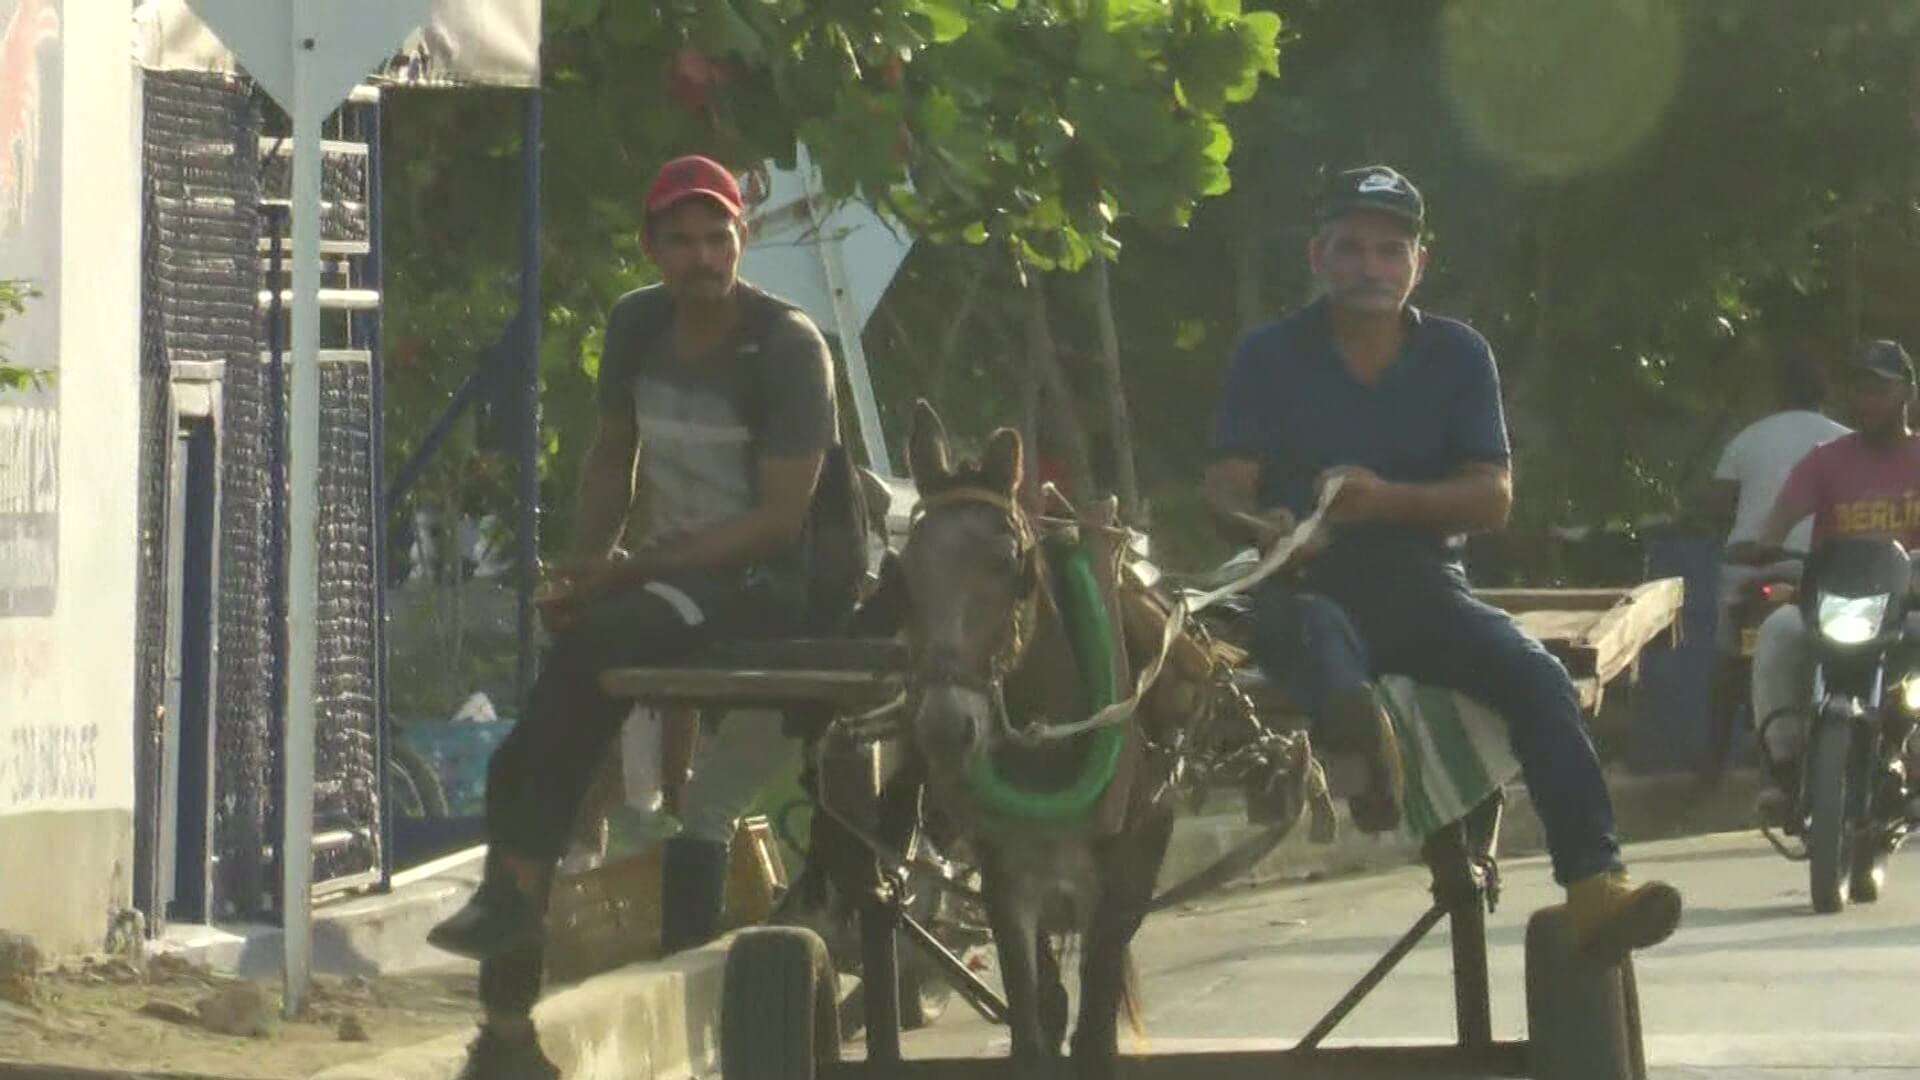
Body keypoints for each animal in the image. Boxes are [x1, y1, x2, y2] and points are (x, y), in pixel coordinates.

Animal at [894, 401, 1167, 1076]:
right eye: (903, 573)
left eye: (1006, 564)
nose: (944, 728)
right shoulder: (1005, 878)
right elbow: (1030, 1031)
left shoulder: (1117, 879)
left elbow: (1095, 1034)